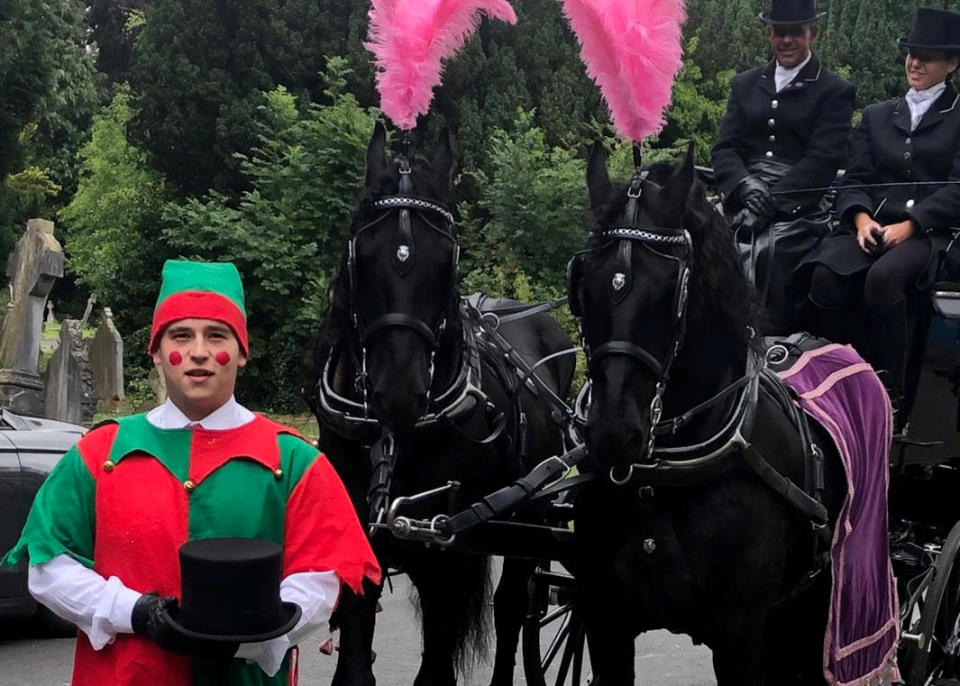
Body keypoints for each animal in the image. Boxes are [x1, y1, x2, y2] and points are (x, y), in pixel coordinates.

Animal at [312, 123, 572, 686]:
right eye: (361, 253)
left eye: (446, 257)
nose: (399, 392)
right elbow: (354, 666)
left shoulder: (446, 561)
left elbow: (435, 670)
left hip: (531, 519)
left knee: (511, 607)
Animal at [568, 142, 844, 684]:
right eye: (583, 284)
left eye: (670, 288)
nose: (613, 432)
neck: (660, 479)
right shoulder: (606, 622)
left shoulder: (740, 634)